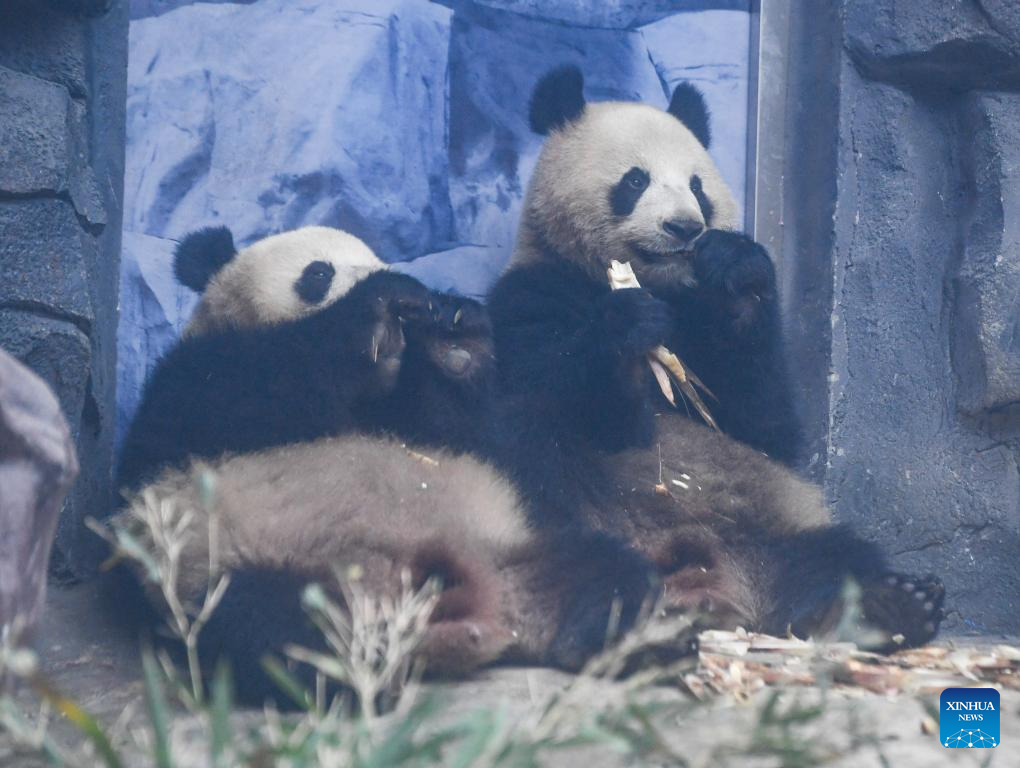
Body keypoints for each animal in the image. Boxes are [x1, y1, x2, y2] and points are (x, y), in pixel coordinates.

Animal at [109, 221, 652, 701]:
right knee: (271, 624)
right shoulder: (185, 390)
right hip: (268, 567)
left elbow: (464, 436)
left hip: (513, 550)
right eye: (318, 273)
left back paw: (597, 636)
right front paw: (378, 304)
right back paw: (358, 673)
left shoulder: (419, 424)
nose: (397, 293)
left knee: (609, 569)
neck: (372, 390)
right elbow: (245, 390)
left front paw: (453, 336)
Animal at [481, 65, 942, 648]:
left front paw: (737, 269)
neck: (658, 286)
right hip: (580, 505)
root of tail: (712, 585)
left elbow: (763, 426)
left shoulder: (706, 325)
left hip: (772, 522)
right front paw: (628, 330)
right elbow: (568, 394)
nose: (685, 227)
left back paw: (886, 608)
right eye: (635, 181)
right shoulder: (530, 294)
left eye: (697, 186)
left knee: (833, 556)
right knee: (537, 459)